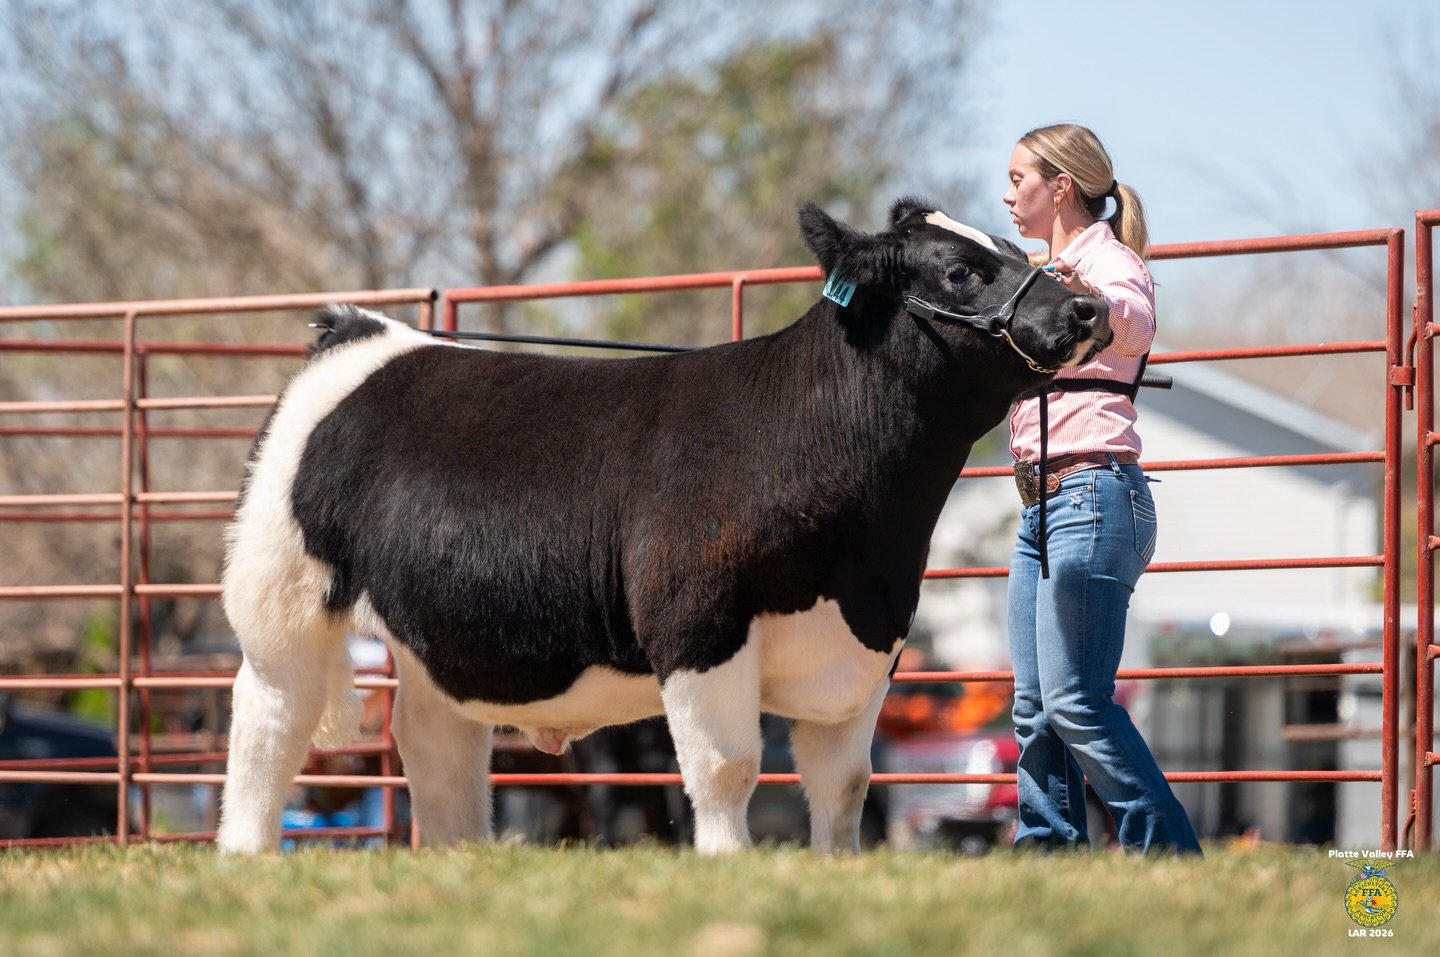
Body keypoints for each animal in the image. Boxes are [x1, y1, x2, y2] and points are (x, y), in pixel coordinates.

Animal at [216, 197, 1109, 855]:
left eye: (1014, 244)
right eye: (962, 270)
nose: (1085, 305)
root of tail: (368, 330)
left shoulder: (867, 649)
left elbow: (845, 786)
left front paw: (837, 867)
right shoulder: (698, 624)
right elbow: (727, 768)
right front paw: (727, 865)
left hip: (435, 639)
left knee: (436, 746)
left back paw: (459, 857)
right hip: (279, 603)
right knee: (269, 723)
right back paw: (247, 852)